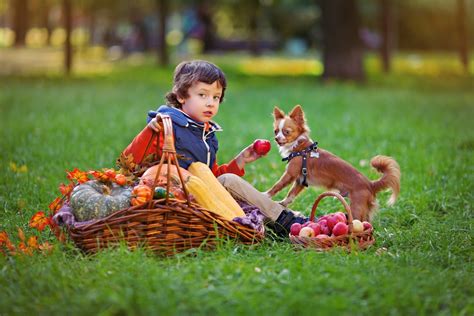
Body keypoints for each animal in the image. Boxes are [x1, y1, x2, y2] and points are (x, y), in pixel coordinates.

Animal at [264, 105, 402, 221]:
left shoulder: (290, 174)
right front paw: (282, 203)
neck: (300, 147)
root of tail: (371, 184)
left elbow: (277, 186)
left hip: (356, 207)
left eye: (286, 132)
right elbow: (291, 194)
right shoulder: (300, 180)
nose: (276, 139)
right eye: (275, 131)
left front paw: (266, 194)